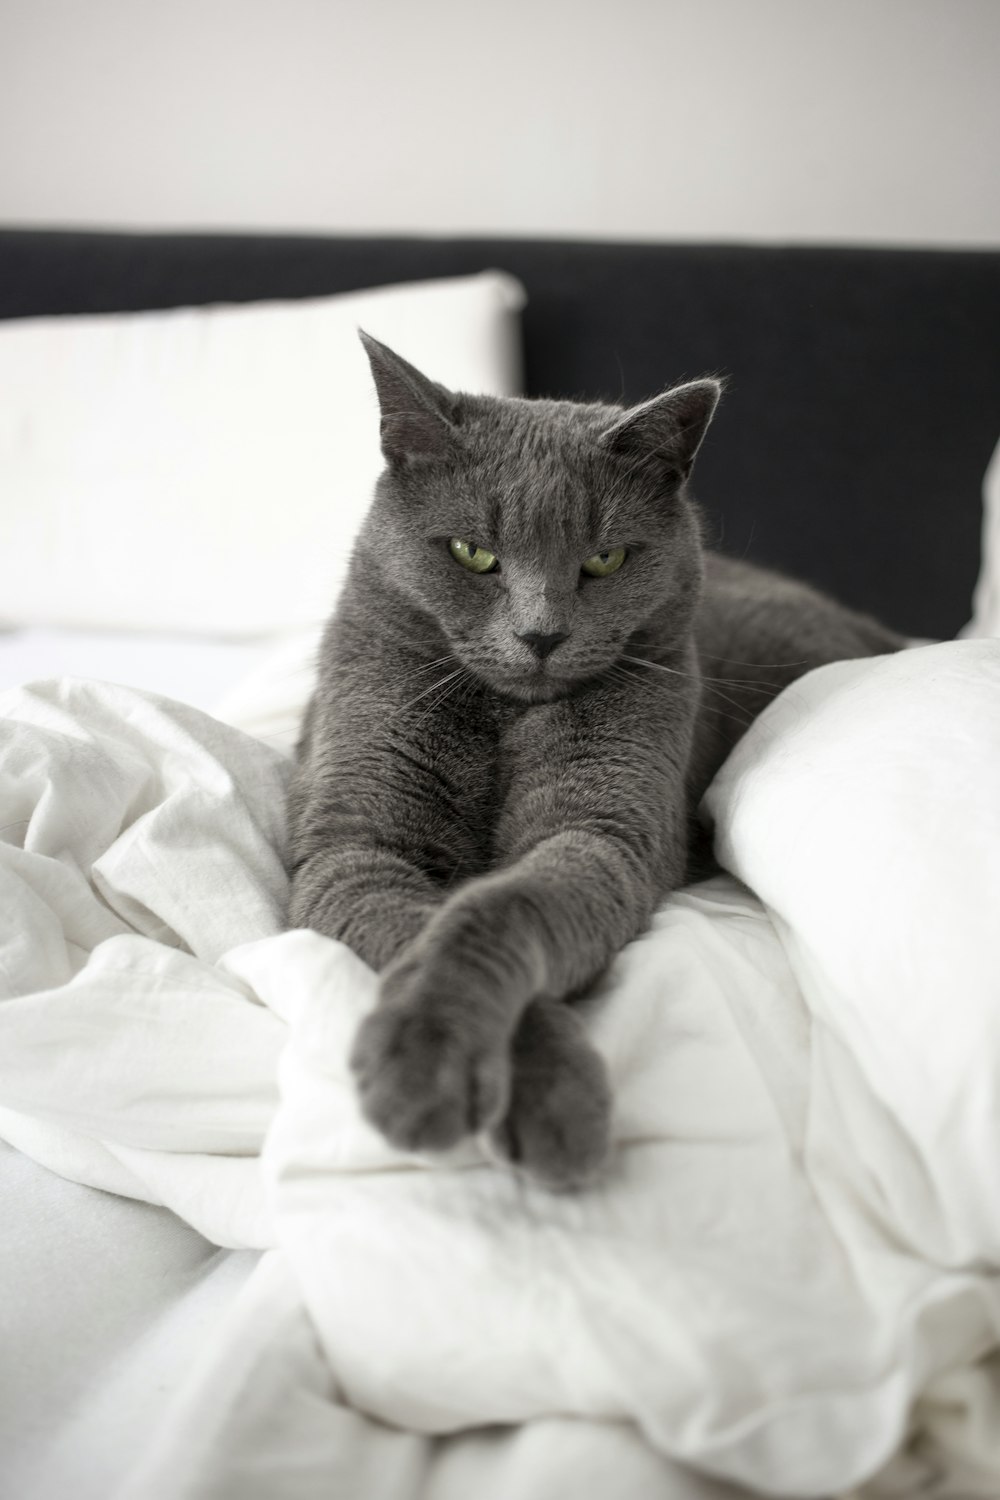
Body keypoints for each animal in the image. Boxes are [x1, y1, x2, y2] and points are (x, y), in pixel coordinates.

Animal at [284, 334, 905, 1188]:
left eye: (605, 559)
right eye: (473, 552)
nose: (540, 635)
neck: (504, 718)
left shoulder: (602, 827)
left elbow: (497, 906)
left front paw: (531, 1101)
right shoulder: (357, 842)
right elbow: (417, 925)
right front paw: (444, 1073)